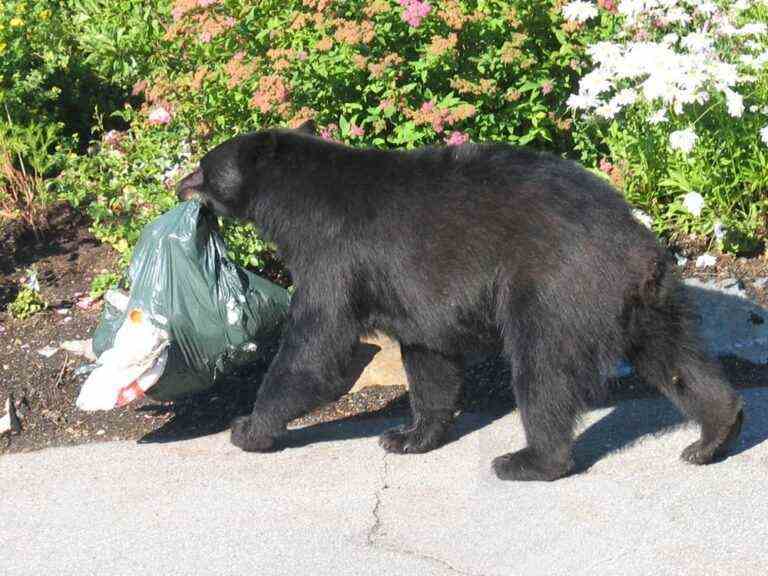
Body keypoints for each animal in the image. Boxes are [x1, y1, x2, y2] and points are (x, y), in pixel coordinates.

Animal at [177, 122, 740, 482]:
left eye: (204, 166)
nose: (179, 184)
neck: (293, 203)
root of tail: (636, 245)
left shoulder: (334, 255)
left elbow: (315, 349)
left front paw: (248, 428)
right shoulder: (412, 292)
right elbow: (429, 357)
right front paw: (408, 434)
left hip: (555, 290)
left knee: (544, 373)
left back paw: (530, 461)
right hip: (648, 304)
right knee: (676, 361)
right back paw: (715, 434)